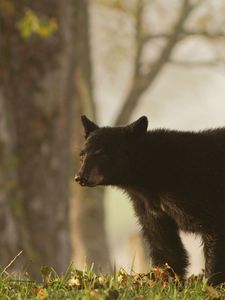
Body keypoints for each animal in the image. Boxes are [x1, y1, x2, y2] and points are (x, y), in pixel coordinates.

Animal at [75, 115, 225, 286]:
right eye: (82, 155)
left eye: (101, 153)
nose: (81, 177)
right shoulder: (149, 206)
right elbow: (163, 244)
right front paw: (166, 282)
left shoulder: (202, 193)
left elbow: (214, 231)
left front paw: (211, 284)